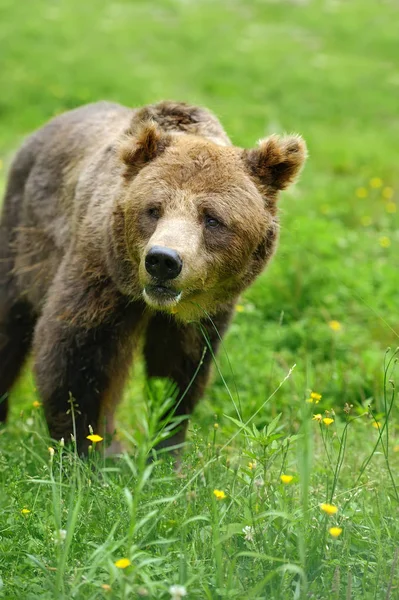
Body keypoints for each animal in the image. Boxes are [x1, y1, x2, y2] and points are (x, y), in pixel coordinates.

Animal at [0, 99, 308, 454]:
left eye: (212, 218)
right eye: (153, 209)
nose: (163, 260)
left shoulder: (201, 315)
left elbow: (179, 373)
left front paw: (163, 449)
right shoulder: (99, 274)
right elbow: (72, 355)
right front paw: (83, 449)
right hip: (23, 237)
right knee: (10, 323)